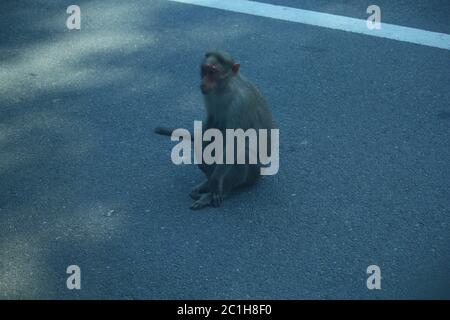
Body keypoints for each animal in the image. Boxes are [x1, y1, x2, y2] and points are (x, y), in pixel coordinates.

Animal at [155, 50, 274, 210]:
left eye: (213, 72)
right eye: (205, 70)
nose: (204, 82)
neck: (224, 89)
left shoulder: (240, 104)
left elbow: (233, 144)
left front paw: (216, 180)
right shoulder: (209, 96)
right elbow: (211, 123)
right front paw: (202, 160)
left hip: (254, 174)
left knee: (242, 152)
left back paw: (221, 191)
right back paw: (206, 184)